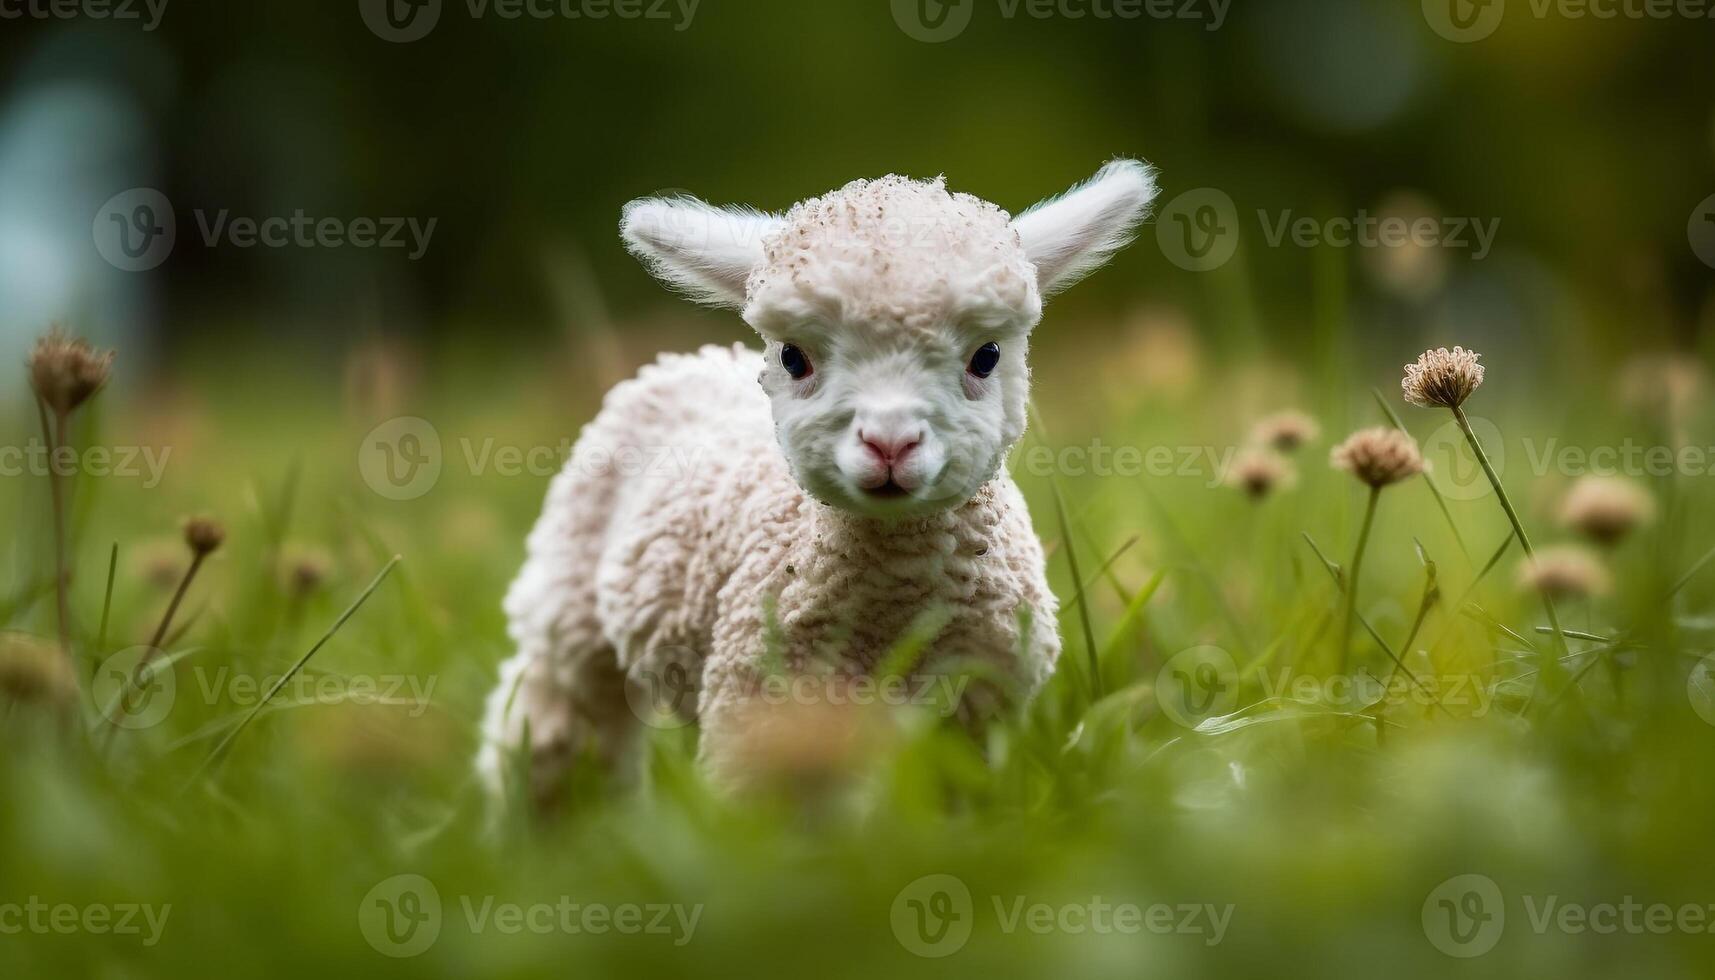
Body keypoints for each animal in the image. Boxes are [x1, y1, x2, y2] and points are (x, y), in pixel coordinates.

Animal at [476, 158, 1159, 806]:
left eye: (986, 356)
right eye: (793, 357)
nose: (890, 444)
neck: (893, 605)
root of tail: (695, 358)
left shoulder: (979, 703)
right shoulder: (768, 705)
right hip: (569, 594)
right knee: (557, 719)